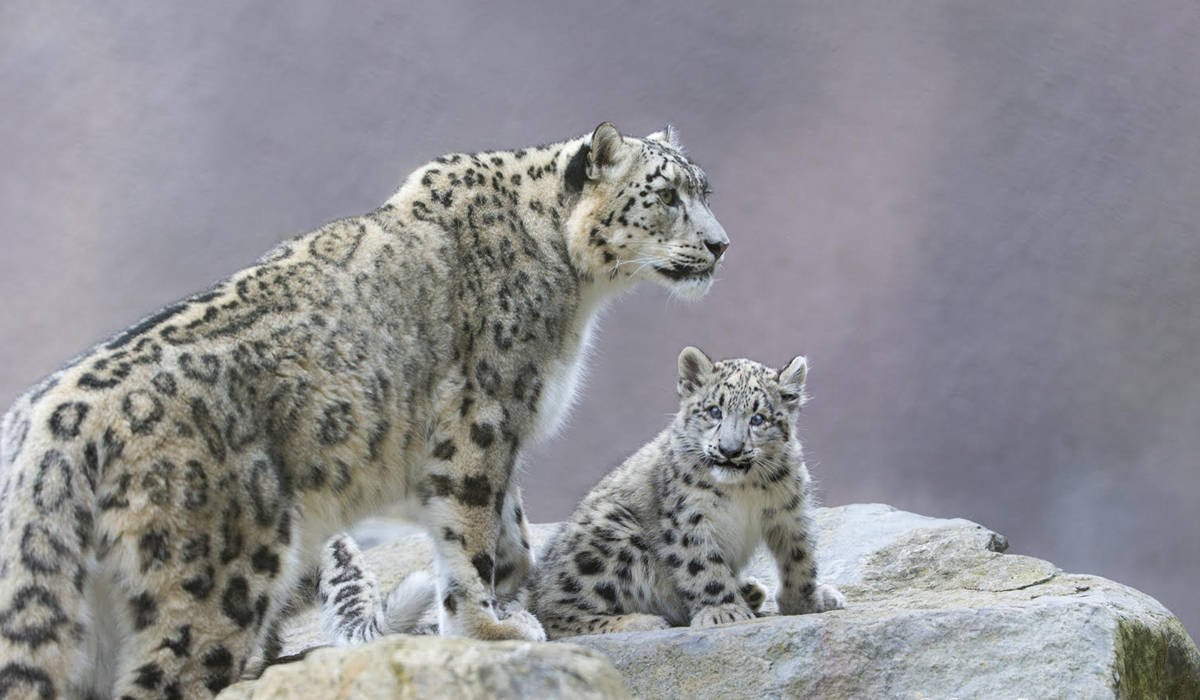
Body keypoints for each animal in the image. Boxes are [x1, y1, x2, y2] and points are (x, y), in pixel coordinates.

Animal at [0, 123, 724, 696]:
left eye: (704, 191)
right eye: (667, 197)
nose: (720, 245)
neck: (576, 291)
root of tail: (47, 419)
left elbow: (510, 533)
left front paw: (510, 594)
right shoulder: (481, 418)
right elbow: (470, 531)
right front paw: (489, 626)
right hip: (209, 578)